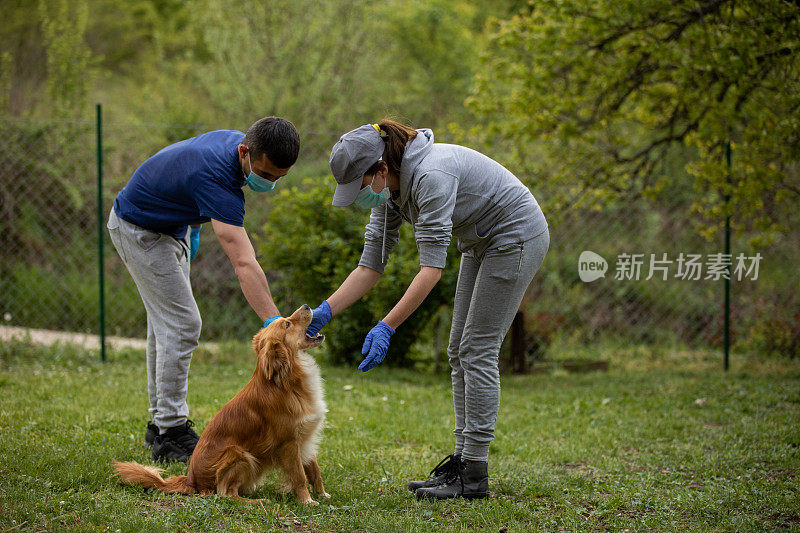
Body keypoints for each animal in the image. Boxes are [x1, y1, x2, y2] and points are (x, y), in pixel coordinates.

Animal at [112, 304, 328, 502]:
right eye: (287, 324)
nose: (307, 306)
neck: (287, 380)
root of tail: (191, 480)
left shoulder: (305, 438)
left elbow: (314, 470)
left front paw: (322, 494)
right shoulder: (288, 443)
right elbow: (299, 476)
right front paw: (307, 501)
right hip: (239, 453)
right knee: (227, 493)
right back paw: (258, 501)